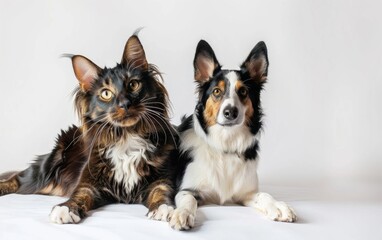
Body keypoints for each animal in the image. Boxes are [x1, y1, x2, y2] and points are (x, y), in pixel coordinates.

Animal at [0, 33, 178, 223]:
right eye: (106, 93)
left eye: (133, 84)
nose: (125, 104)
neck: (127, 136)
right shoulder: (89, 184)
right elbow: (79, 195)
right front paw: (65, 208)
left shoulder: (161, 180)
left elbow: (161, 193)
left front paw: (163, 208)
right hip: (44, 171)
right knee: (16, 179)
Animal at [171, 39, 298, 231]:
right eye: (216, 91)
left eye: (243, 91)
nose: (230, 112)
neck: (225, 144)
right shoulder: (187, 189)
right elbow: (188, 200)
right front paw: (182, 213)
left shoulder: (246, 193)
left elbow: (264, 195)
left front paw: (278, 206)